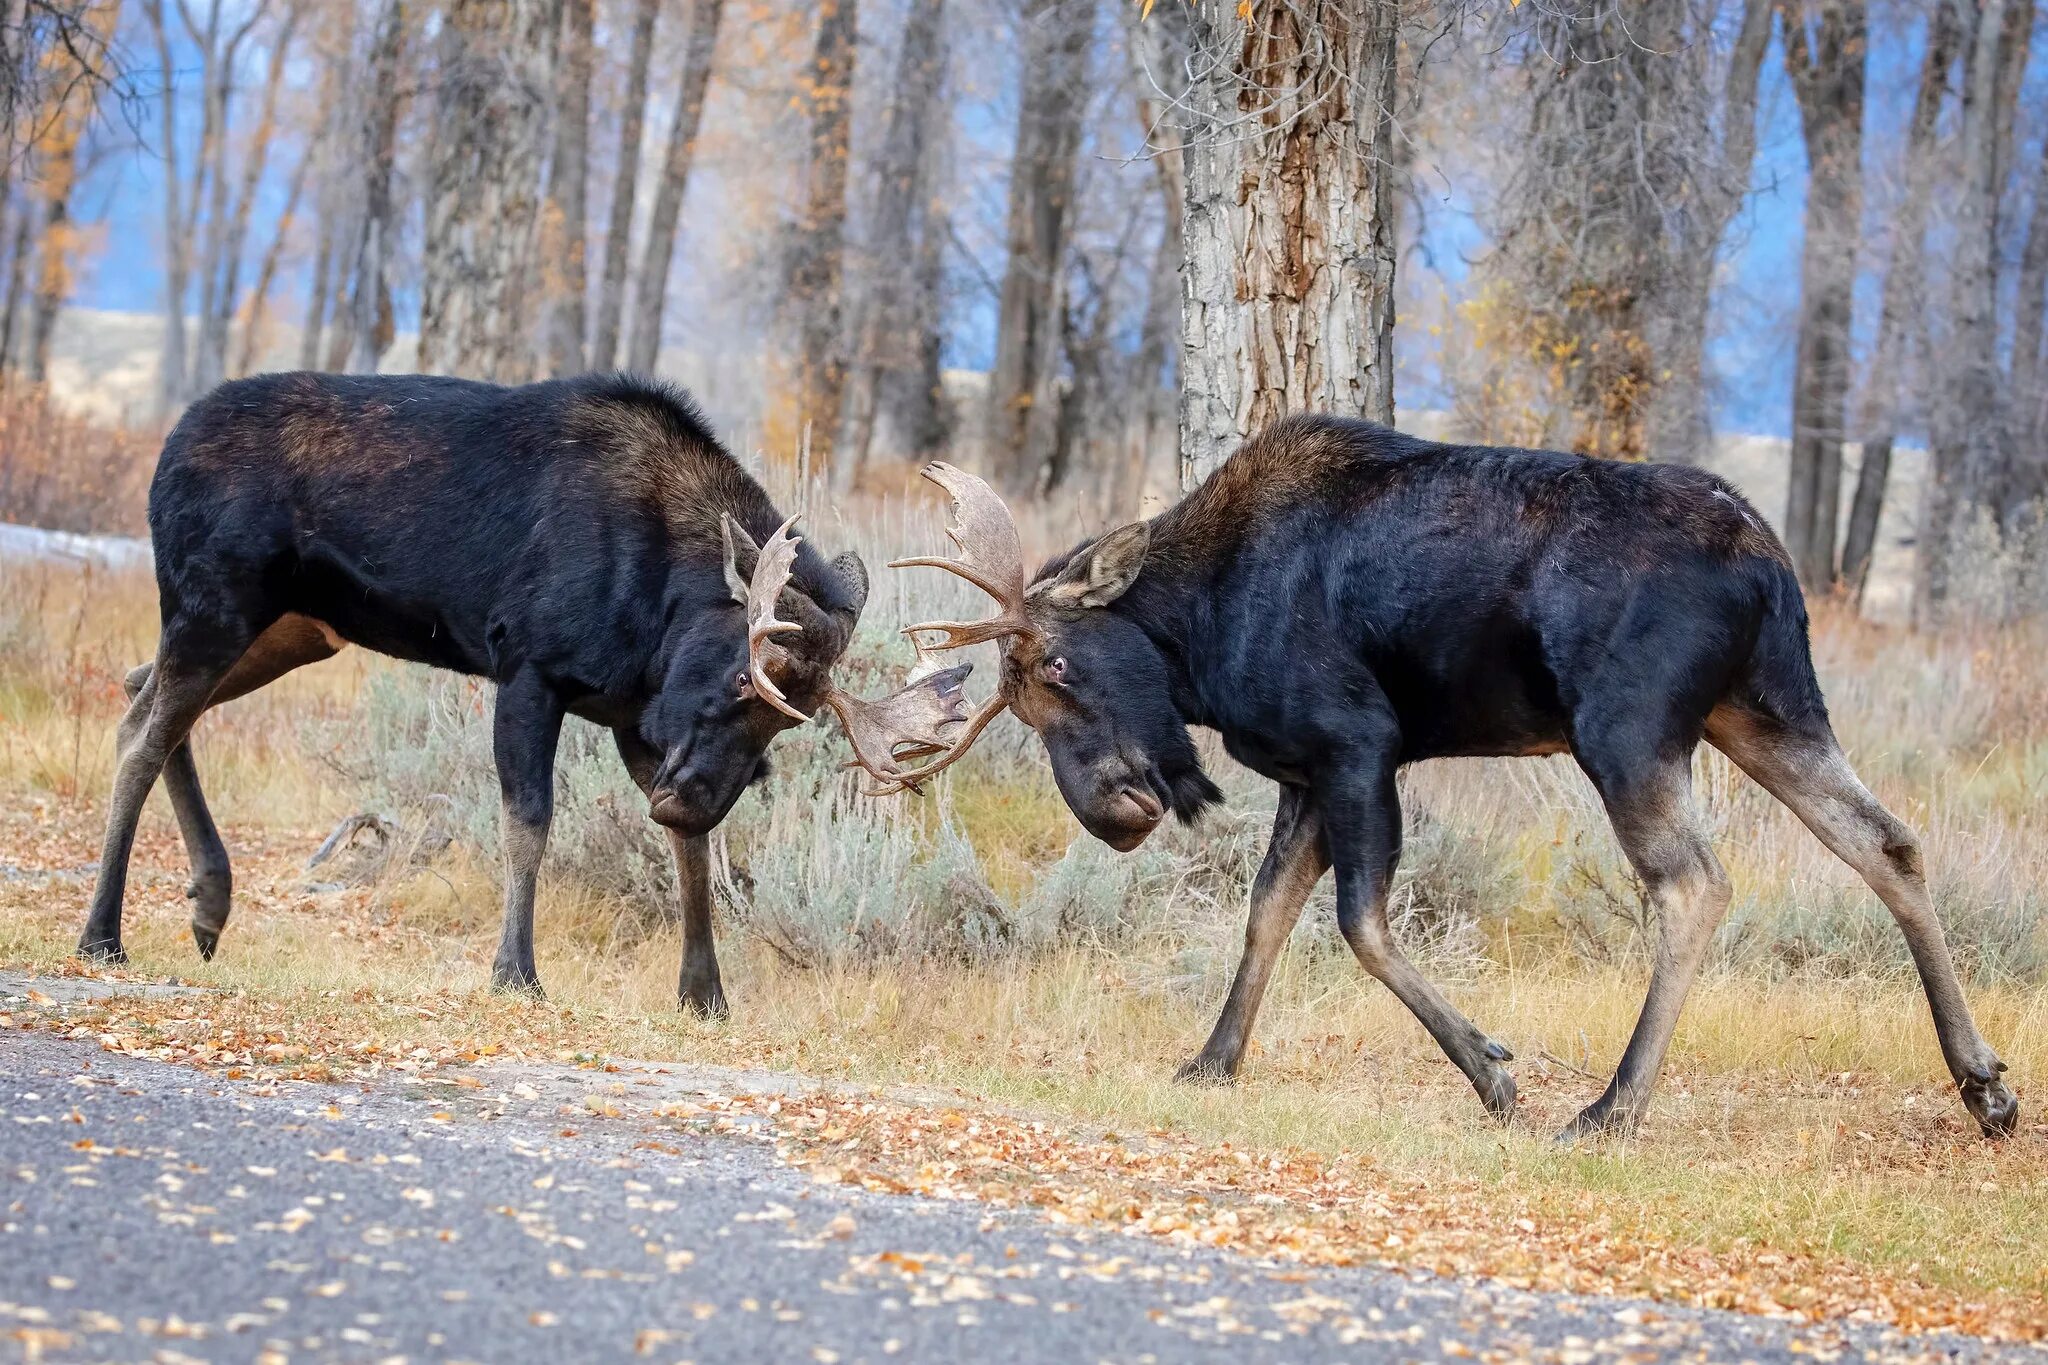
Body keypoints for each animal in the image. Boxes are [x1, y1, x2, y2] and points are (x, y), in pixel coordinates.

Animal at [79, 374, 966, 1015]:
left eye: (798, 720)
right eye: (743, 674)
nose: (693, 796)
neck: (661, 609)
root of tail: (166, 448)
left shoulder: (636, 719)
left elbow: (691, 855)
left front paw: (704, 992)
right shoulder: (531, 671)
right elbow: (528, 822)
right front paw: (515, 970)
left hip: (295, 625)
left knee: (138, 692)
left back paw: (208, 902)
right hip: (217, 603)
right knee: (143, 734)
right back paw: (102, 933)